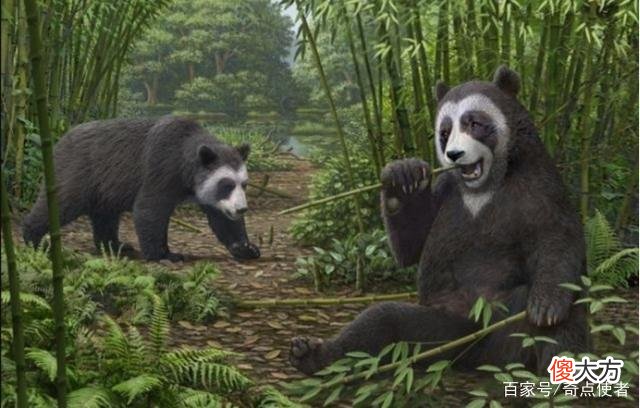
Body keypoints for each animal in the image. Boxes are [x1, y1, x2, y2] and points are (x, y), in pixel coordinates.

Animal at [23, 116, 260, 262]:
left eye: (244, 184)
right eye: (226, 185)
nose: (241, 209)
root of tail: (59, 140)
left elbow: (220, 217)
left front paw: (245, 247)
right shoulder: (162, 165)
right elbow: (149, 209)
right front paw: (165, 254)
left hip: (104, 185)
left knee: (105, 215)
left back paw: (115, 245)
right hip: (79, 169)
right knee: (62, 202)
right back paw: (34, 238)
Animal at [289, 66, 588, 375]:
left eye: (474, 123)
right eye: (444, 132)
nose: (454, 154)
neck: (482, 186)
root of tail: (476, 355)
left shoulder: (539, 184)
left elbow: (559, 237)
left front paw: (547, 305)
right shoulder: (447, 189)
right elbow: (414, 245)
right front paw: (402, 177)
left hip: (506, 325)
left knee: (565, 319)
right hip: (439, 328)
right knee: (380, 323)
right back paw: (311, 354)